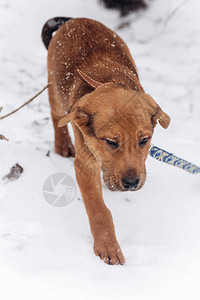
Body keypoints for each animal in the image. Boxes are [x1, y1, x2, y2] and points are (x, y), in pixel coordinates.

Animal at [41, 17, 170, 264]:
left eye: (144, 140)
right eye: (111, 142)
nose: (131, 184)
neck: (106, 81)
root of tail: (74, 19)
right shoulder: (84, 165)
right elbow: (99, 210)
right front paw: (108, 247)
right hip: (53, 83)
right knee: (55, 115)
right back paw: (62, 144)